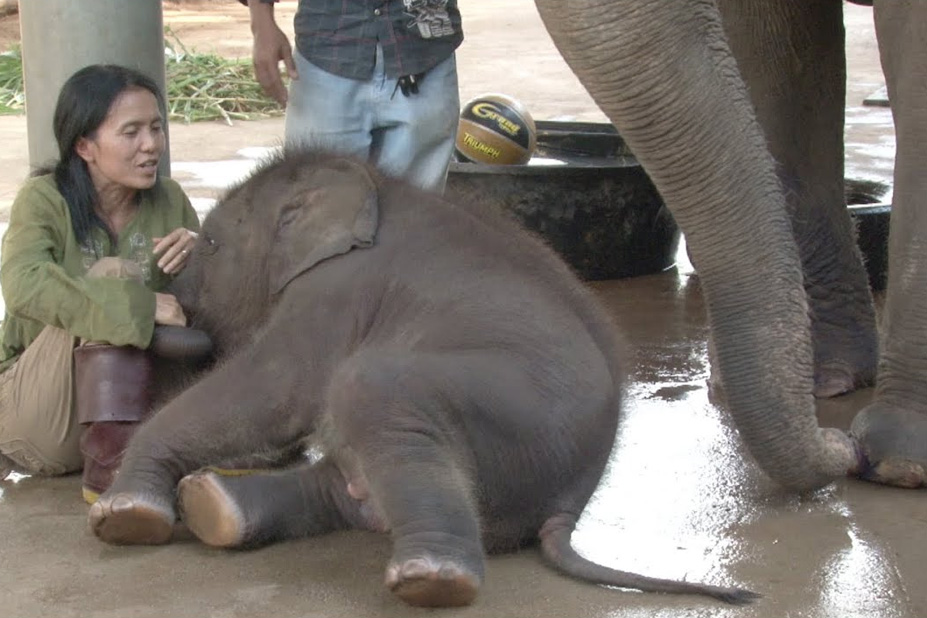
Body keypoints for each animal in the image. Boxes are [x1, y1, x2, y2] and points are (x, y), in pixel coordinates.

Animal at [87, 150, 756, 608]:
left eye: (211, 243)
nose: (168, 303)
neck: (368, 179)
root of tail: (571, 502)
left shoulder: (338, 290)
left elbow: (277, 390)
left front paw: (121, 514)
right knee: (348, 485)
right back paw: (213, 507)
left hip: (518, 416)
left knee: (368, 385)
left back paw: (431, 581)